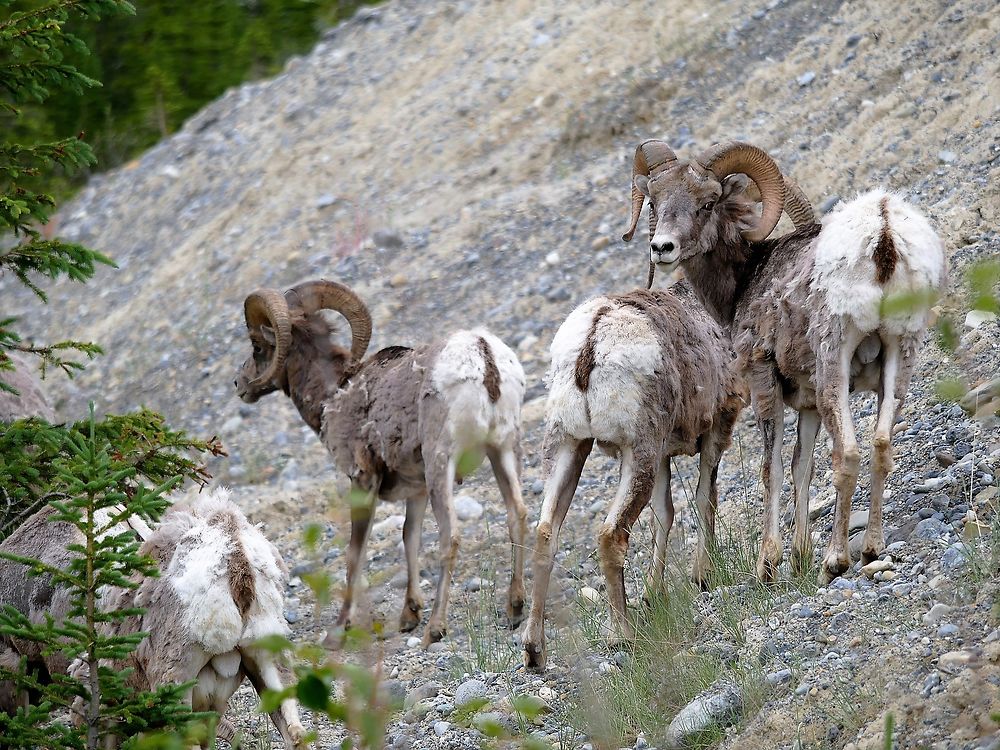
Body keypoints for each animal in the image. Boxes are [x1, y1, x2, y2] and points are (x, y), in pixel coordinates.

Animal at [234, 280, 532, 648]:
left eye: (258, 346)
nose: (239, 385)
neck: (335, 395)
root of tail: (482, 353)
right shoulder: (416, 490)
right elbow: (409, 538)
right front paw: (408, 616)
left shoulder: (363, 481)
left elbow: (355, 553)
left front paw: (339, 630)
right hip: (502, 449)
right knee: (517, 514)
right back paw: (515, 608)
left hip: (442, 464)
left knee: (450, 536)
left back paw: (436, 628)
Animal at [520, 284, 748, 672]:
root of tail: (592, 341)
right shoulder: (717, 428)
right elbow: (705, 497)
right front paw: (703, 576)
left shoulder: (663, 456)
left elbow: (664, 514)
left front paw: (654, 595)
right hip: (636, 449)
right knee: (611, 535)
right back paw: (622, 636)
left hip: (568, 442)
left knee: (545, 533)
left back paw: (535, 650)